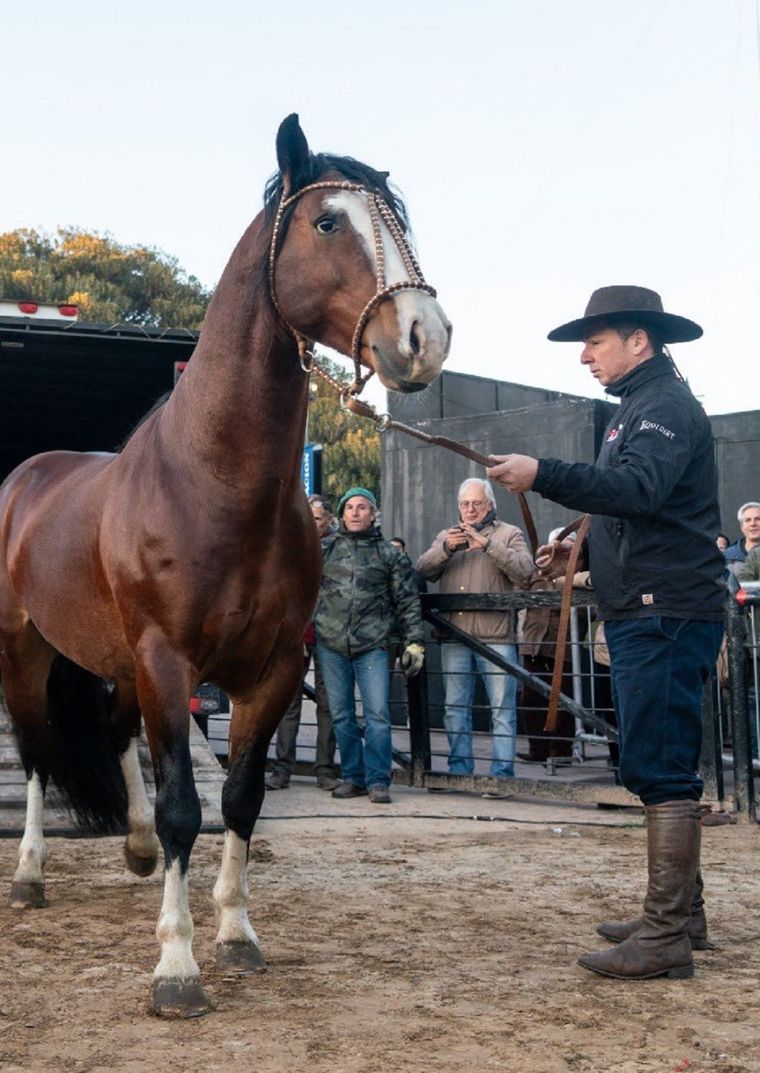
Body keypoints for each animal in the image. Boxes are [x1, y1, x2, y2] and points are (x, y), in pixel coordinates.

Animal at [0, 114, 451, 1018]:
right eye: (327, 222)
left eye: (404, 227)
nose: (426, 338)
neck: (211, 482)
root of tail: (29, 474)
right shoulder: (170, 662)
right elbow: (185, 805)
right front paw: (176, 967)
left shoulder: (271, 668)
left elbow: (238, 797)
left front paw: (237, 934)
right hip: (27, 648)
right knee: (36, 753)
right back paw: (30, 874)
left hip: (114, 661)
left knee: (114, 736)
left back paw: (136, 850)